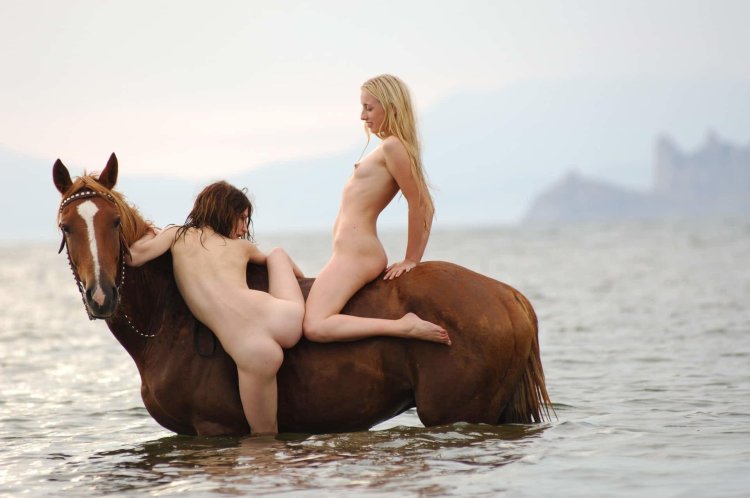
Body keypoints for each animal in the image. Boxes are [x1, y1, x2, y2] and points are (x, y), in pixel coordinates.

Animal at [53, 153, 552, 436]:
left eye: (114, 221)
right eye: (66, 227)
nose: (102, 296)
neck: (168, 322)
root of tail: (507, 295)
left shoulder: (214, 428)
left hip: (458, 413)